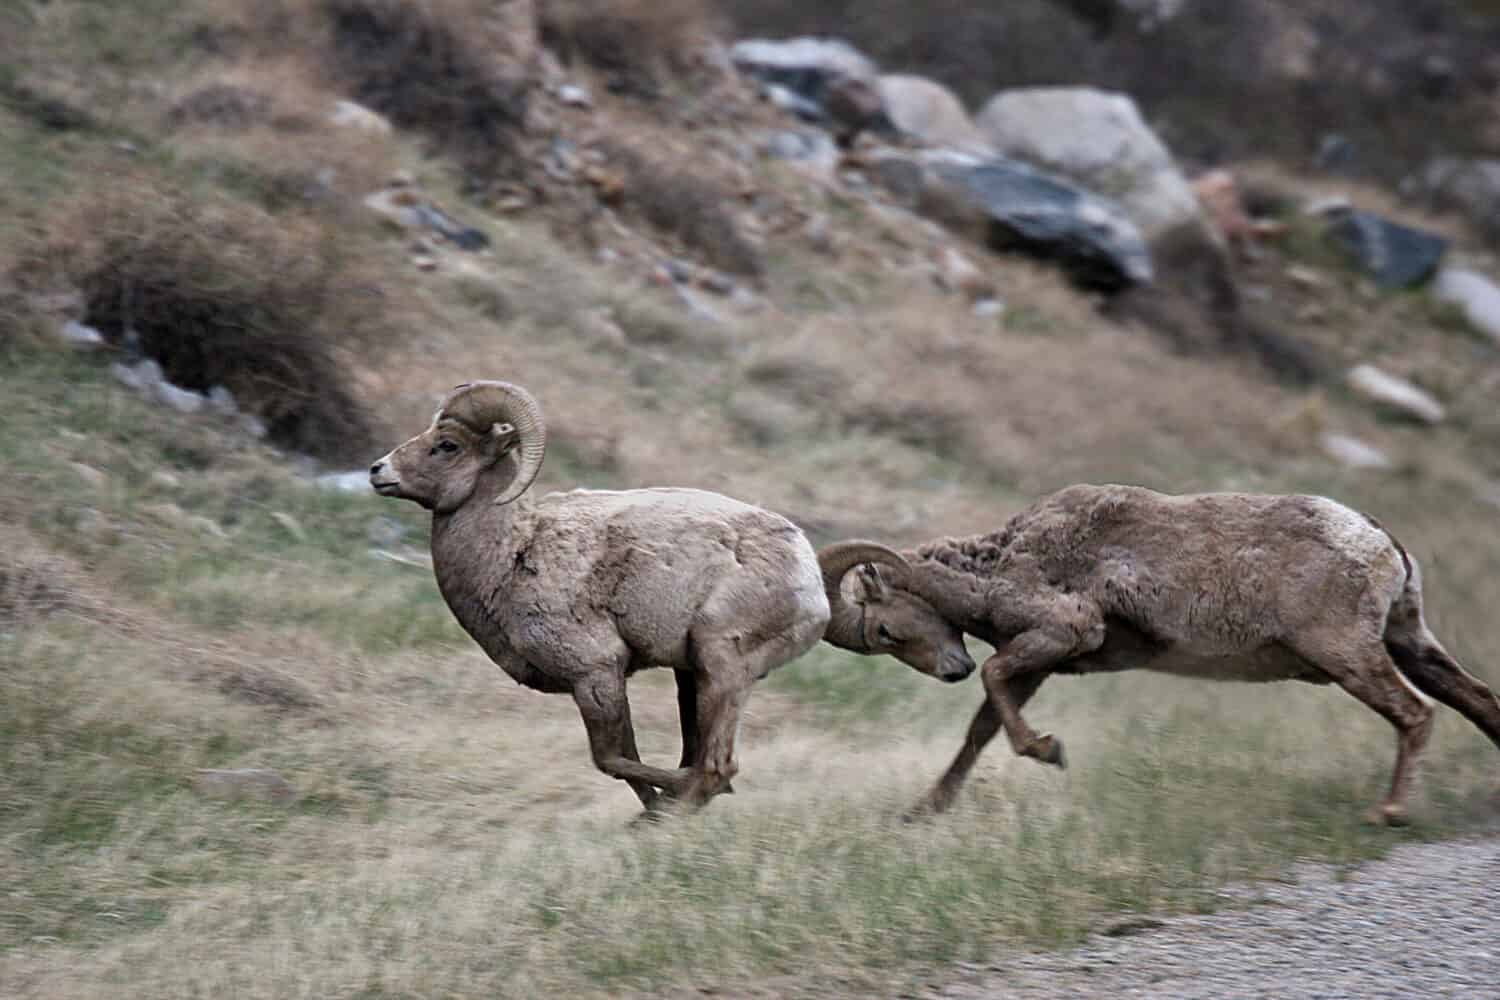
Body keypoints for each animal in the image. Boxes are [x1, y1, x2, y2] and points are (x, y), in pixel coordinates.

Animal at [367, 383, 828, 815]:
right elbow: (626, 762)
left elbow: (610, 760)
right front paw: (653, 807)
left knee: (715, 767)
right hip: (691, 677)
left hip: (721, 668)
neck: (515, 551)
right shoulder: (601, 683)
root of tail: (809, 573)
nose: (377, 470)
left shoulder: (596, 675)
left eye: (447, 445)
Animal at [822, 479, 1500, 827]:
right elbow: (982, 726)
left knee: (1415, 714)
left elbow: (993, 684)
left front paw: (1050, 751)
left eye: (883, 632)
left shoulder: (1059, 635)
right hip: (1408, 642)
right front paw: (924, 810)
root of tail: (1381, 543)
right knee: (1478, 701)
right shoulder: (1038, 661)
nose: (951, 671)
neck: (1000, 564)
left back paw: (1390, 812)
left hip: (1349, 657)